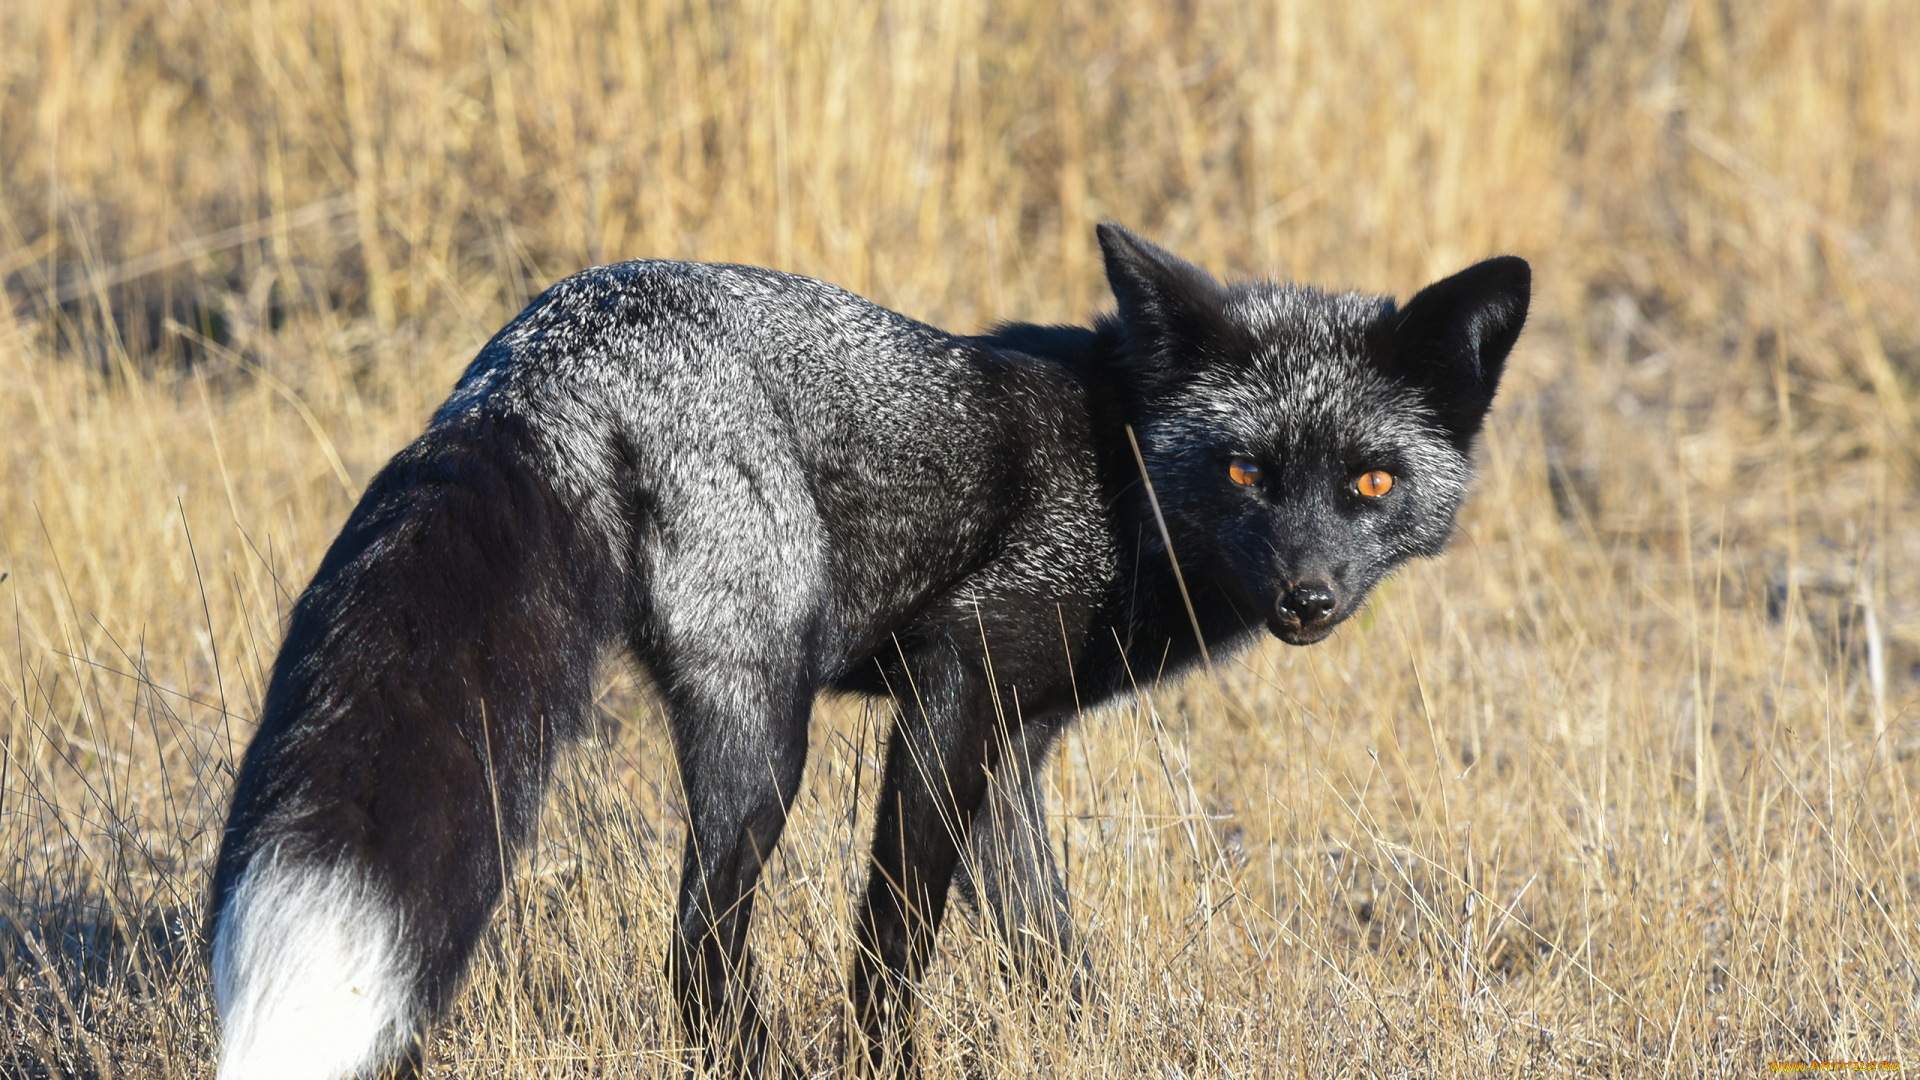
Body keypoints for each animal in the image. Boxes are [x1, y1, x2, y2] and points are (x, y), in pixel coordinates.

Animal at [207, 223, 1528, 1079]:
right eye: (1249, 471)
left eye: (1370, 482)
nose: (1308, 597)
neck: (1122, 469)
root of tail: (548, 341)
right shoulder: (954, 679)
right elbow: (895, 939)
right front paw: (884, 1061)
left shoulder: (1016, 739)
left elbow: (1045, 945)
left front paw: (1090, 1045)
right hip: (766, 736)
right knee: (695, 950)